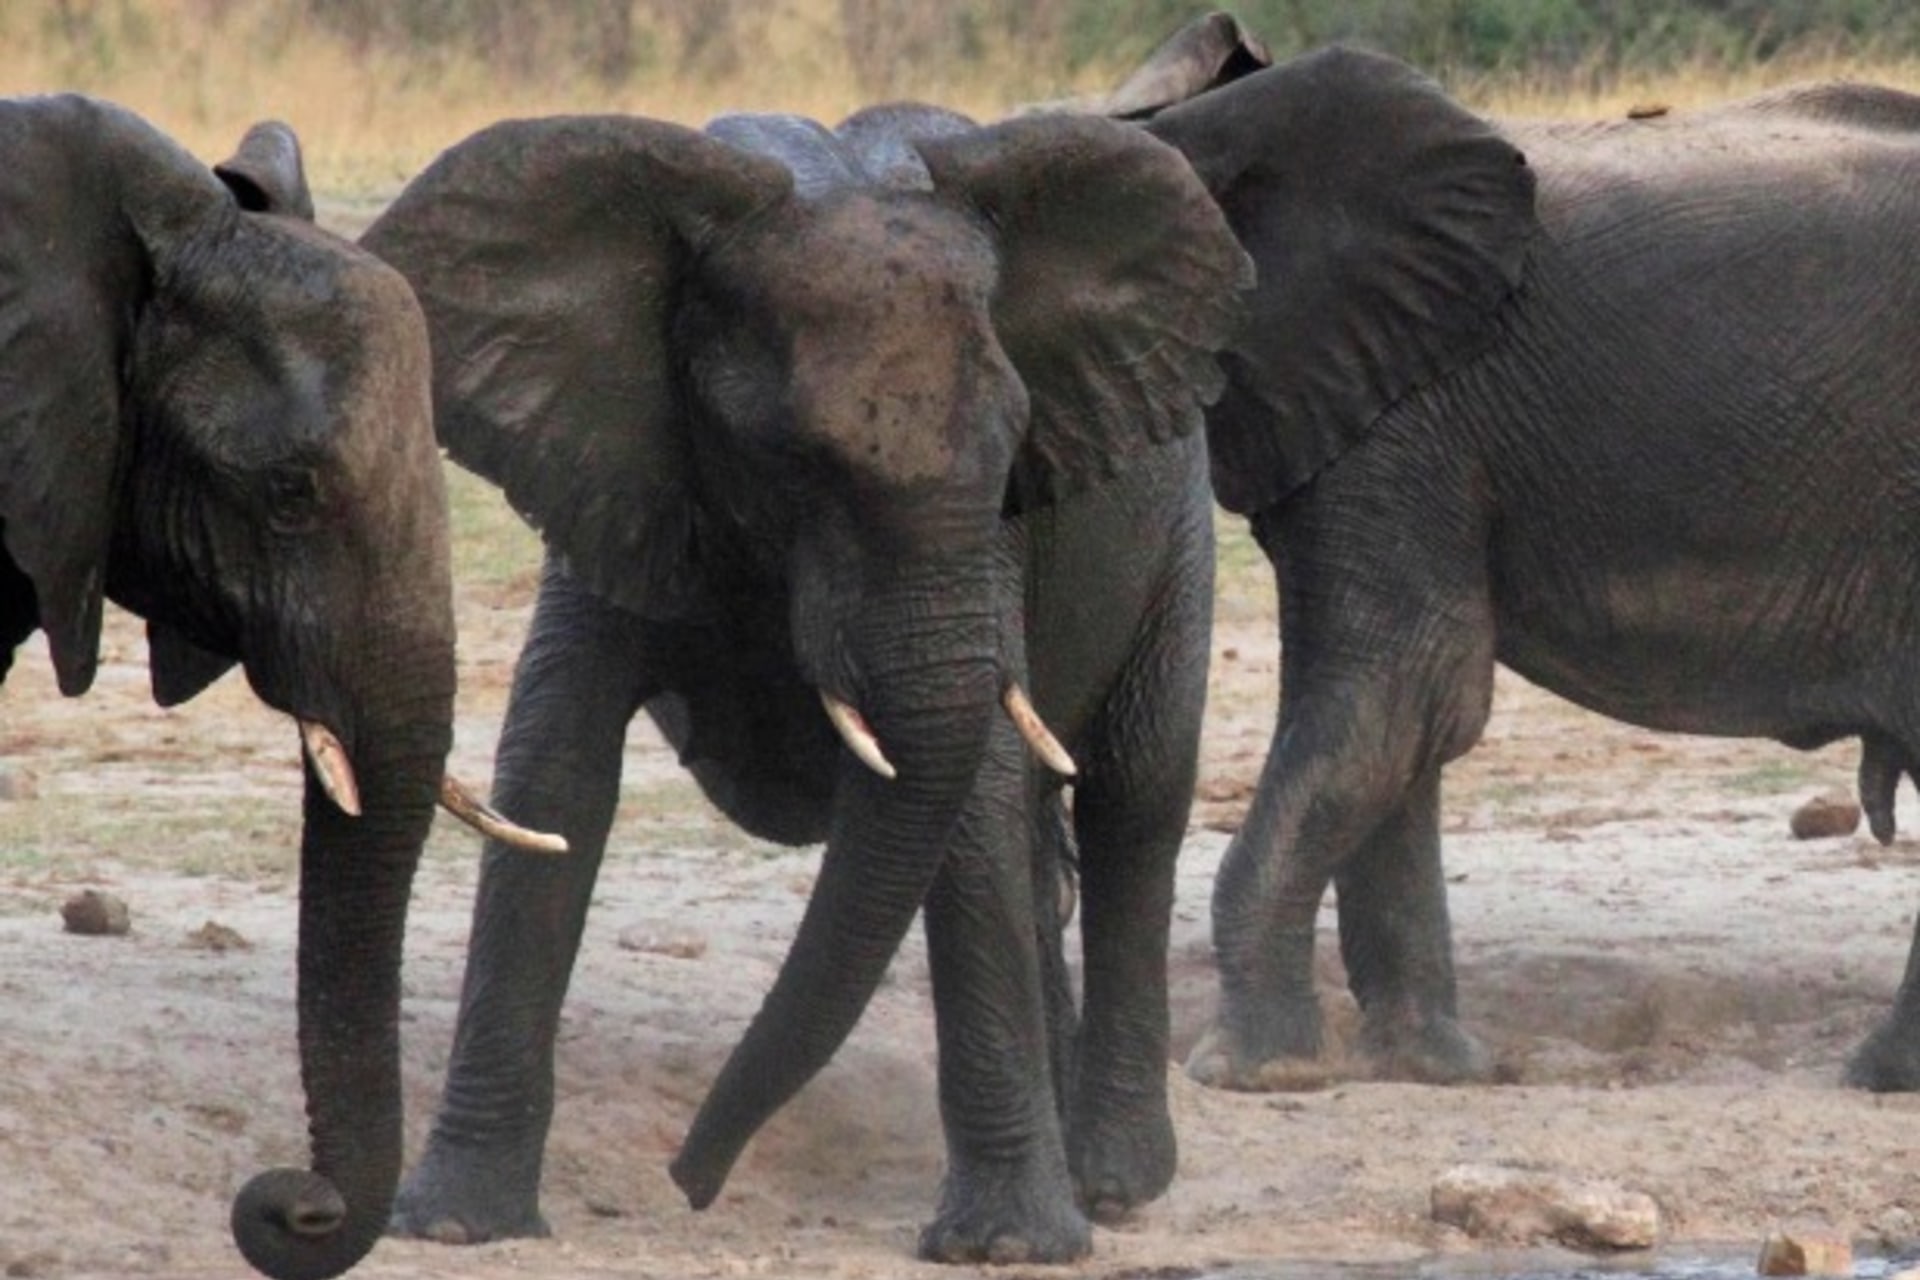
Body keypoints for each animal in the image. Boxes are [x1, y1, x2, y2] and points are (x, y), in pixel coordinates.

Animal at [360, 103, 1249, 1262]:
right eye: (793, 459)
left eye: (1015, 450)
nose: (689, 1181)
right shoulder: (622, 468)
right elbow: (556, 770)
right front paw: (457, 1223)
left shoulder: (991, 545)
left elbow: (969, 800)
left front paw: (1006, 1249)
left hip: (1179, 535)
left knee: (1133, 802)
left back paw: (1111, 1183)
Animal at [1136, 46, 1920, 1092]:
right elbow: (1395, 719)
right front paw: (1431, 1068)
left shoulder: (1410, 413)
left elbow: (1400, 692)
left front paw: (1254, 1074)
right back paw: (1881, 1076)